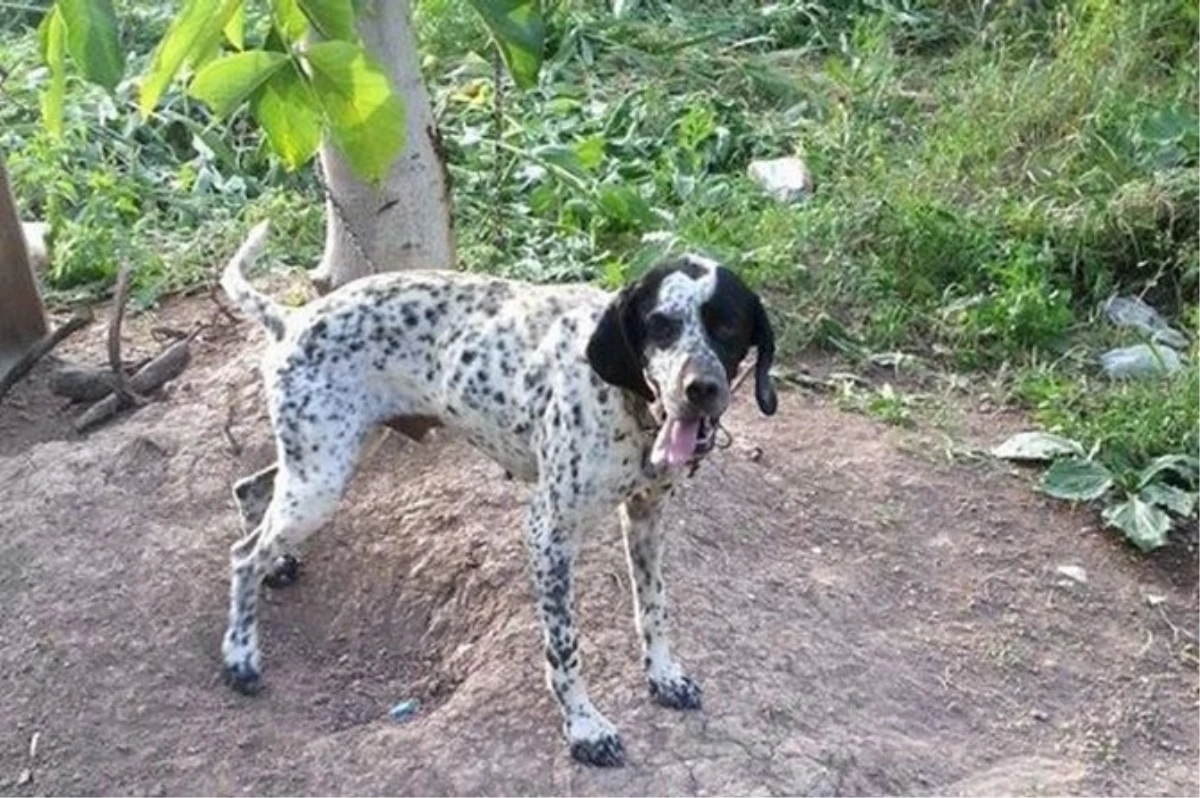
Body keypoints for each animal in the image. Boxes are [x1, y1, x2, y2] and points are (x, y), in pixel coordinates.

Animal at [216, 222, 777, 768]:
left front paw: (663, 674)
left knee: (250, 489)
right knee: (243, 555)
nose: (699, 389)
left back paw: (278, 564)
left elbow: (653, 606)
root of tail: (291, 318)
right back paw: (240, 655)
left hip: (332, 457)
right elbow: (565, 647)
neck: (628, 403)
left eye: (726, 327)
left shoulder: (646, 517)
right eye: (661, 325)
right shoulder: (548, 533)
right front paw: (584, 727)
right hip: (322, 478)